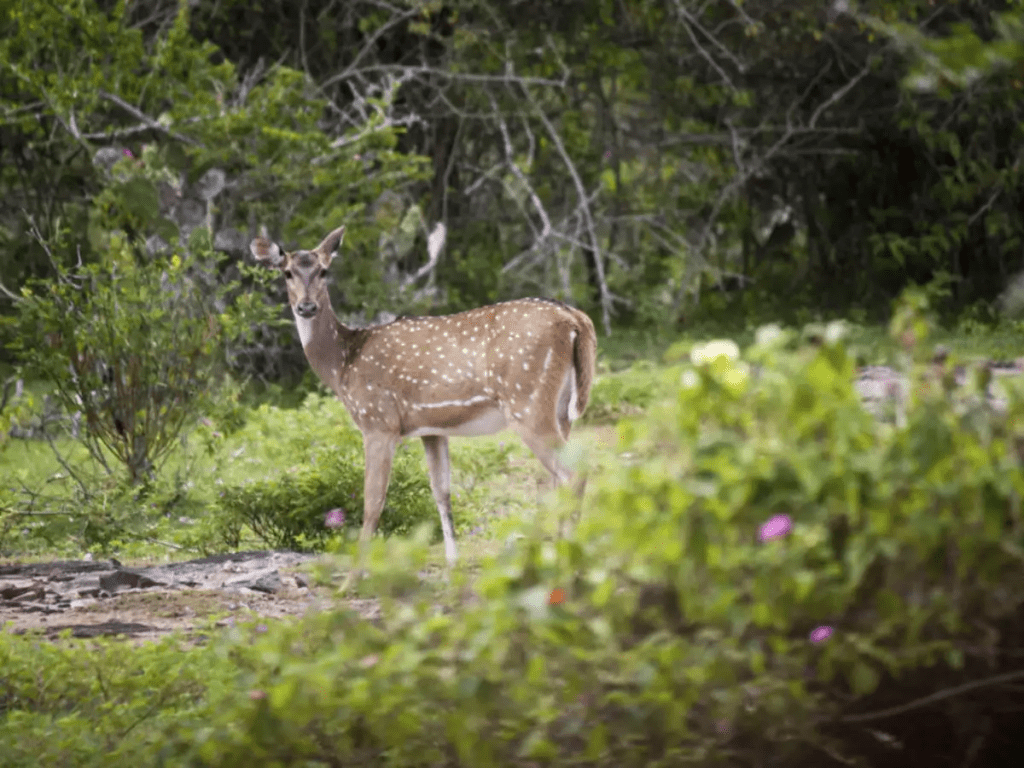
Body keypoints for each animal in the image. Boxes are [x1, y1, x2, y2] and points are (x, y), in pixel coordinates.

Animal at [249, 225, 598, 573]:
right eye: (287, 272)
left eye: (324, 270)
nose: (307, 307)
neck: (343, 364)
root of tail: (575, 319)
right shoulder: (431, 429)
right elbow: (441, 492)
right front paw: (452, 562)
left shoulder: (378, 421)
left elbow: (372, 501)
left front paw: (357, 572)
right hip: (560, 409)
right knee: (558, 478)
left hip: (527, 401)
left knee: (573, 474)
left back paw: (572, 557)